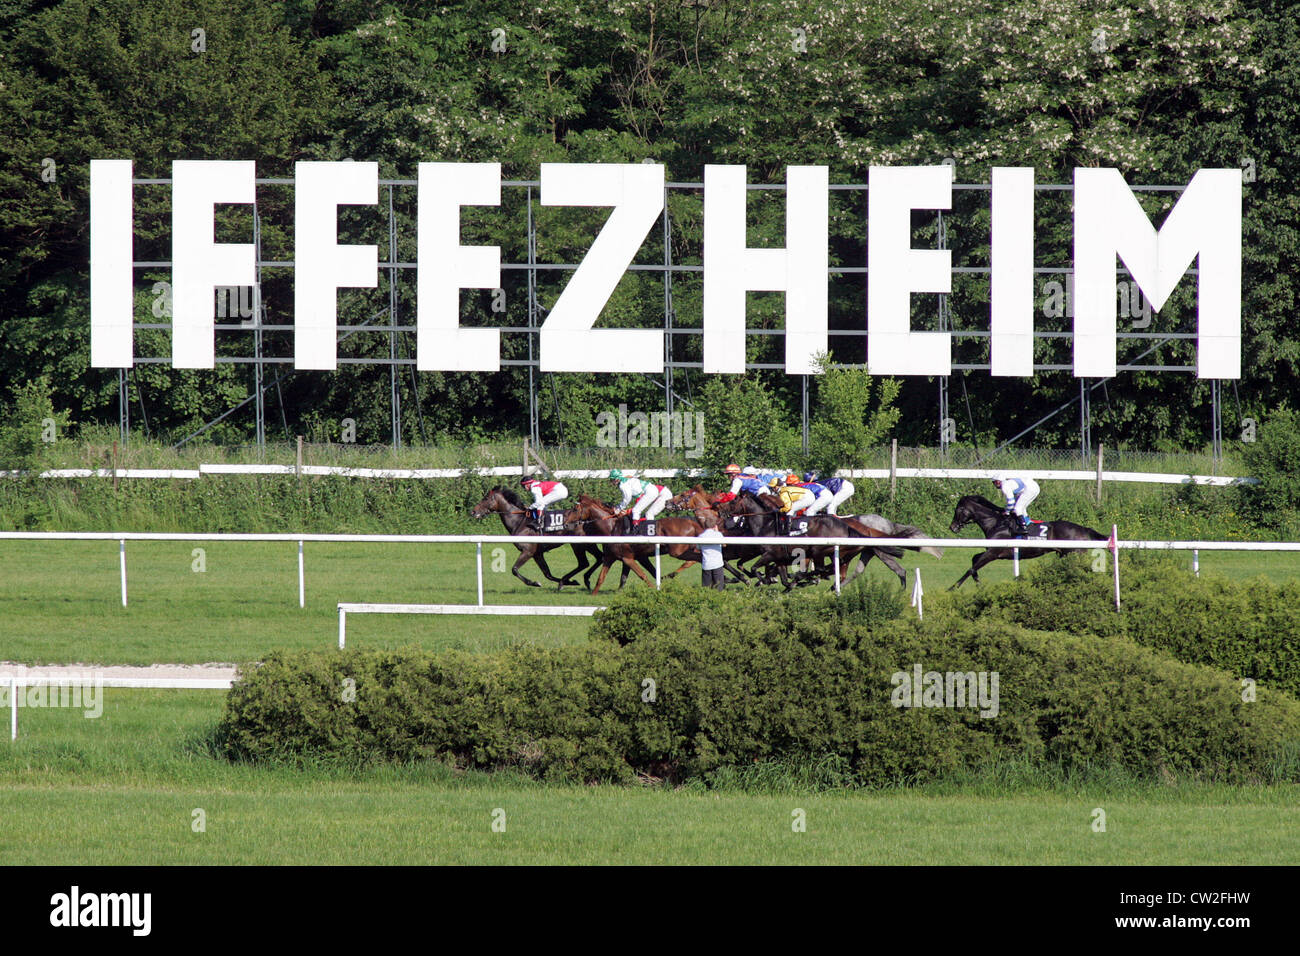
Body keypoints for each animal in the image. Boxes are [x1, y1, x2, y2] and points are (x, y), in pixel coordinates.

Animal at [946, 496, 1107, 587]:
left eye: (958, 509)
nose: (952, 527)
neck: (996, 523)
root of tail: (1084, 529)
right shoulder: (992, 551)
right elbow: (974, 560)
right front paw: (979, 583)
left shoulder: (993, 553)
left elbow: (971, 568)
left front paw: (953, 587)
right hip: (1067, 555)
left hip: (1074, 554)